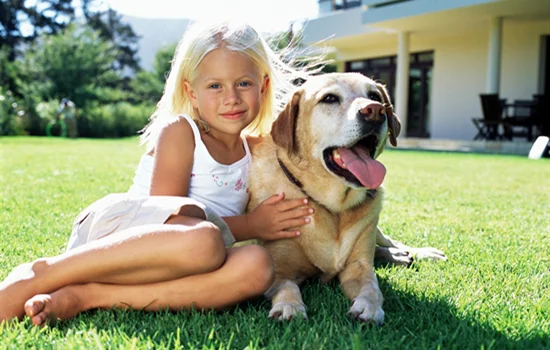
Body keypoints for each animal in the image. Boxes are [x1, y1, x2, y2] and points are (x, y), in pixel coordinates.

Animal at [248, 72, 446, 326]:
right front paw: (289, 306)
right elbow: (288, 287)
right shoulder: (279, 270)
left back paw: (417, 253)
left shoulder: (358, 267)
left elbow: (372, 286)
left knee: (390, 242)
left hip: (375, 227)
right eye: (329, 98)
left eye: (374, 96)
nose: (375, 111)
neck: (332, 208)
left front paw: (370, 307)